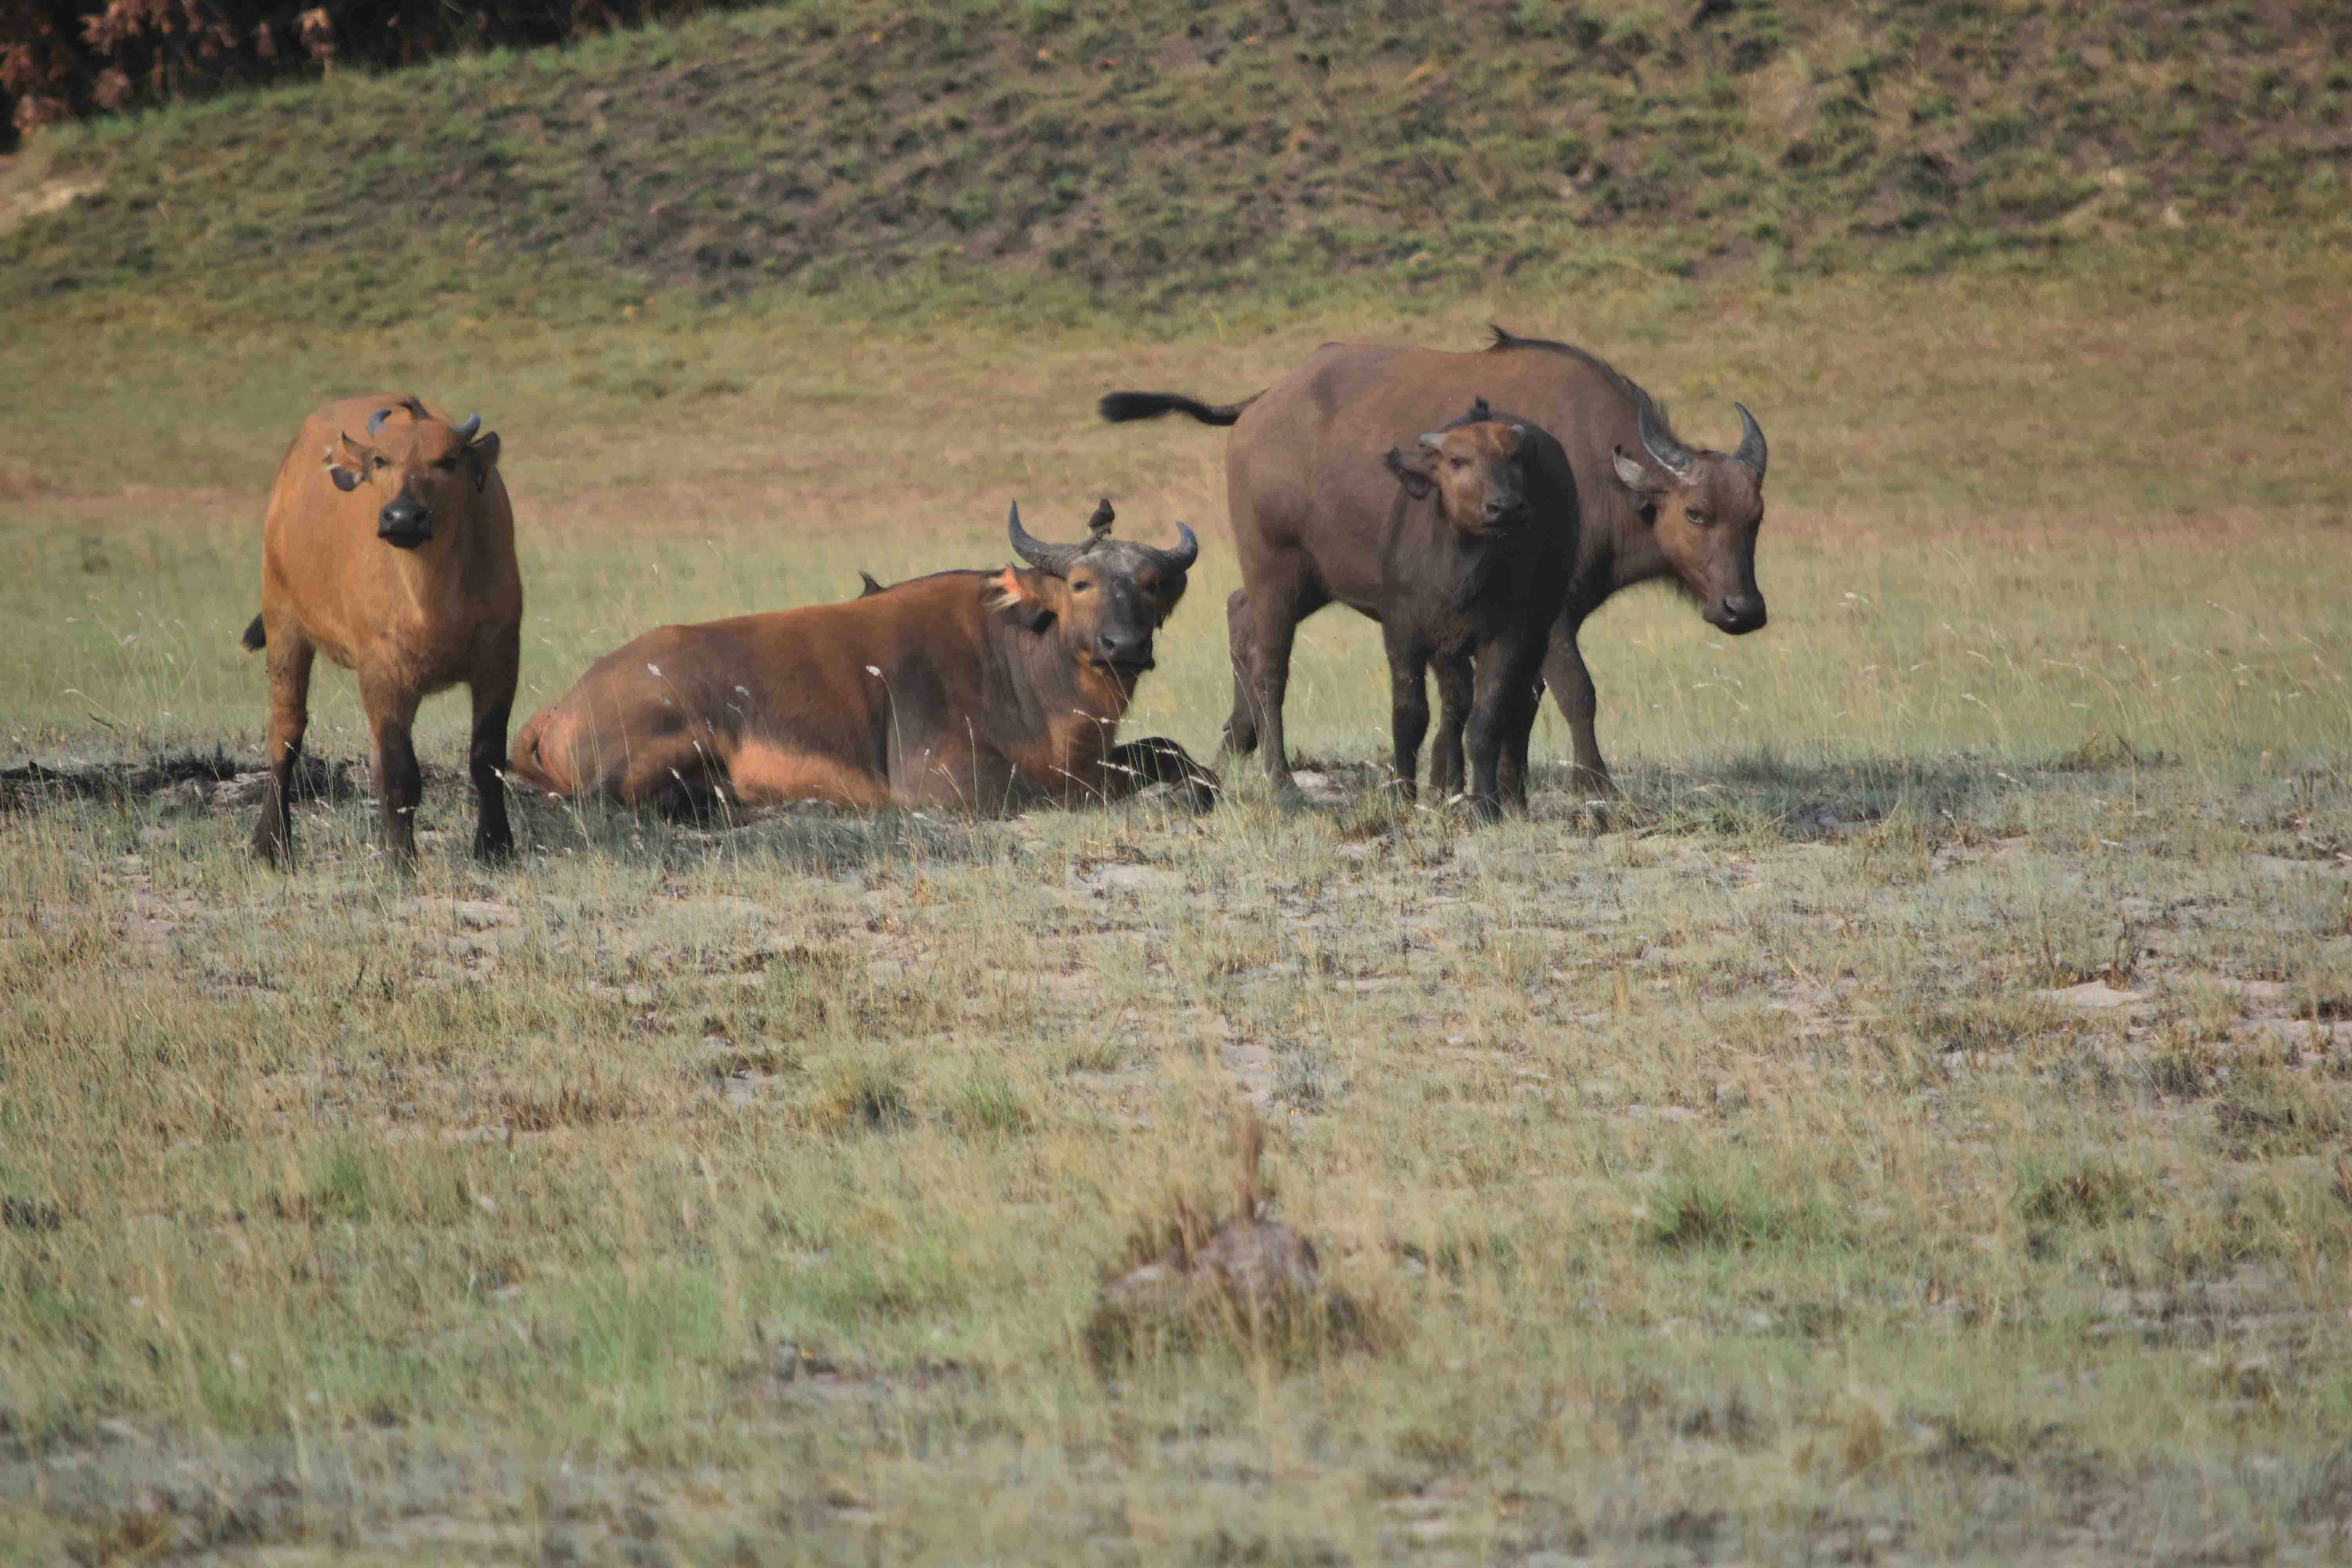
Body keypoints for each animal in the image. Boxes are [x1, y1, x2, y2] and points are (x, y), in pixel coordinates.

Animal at [243, 385, 520, 865]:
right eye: (380, 461)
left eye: (448, 460)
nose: (404, 517)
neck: (432, 596)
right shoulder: (381, 672)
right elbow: (400, 773)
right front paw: (400, 859)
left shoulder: (500, 658)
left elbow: (487, 759)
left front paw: (495, 846)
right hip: (283, 625)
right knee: (286, 732)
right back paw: (271, 843)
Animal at [508, 505, 1223, 822]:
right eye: (1080, 583)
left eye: (1152, 583)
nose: (1124, 646)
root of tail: (563, 705)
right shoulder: (948, 782)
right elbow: (1049, 792)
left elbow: (1180, 757)